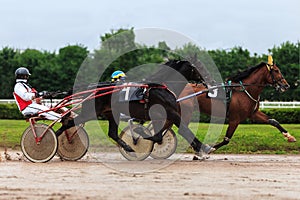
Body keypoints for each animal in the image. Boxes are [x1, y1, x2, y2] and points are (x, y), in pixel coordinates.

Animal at [56, 59, 216, 155]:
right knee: (69, 122)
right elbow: (183, 129)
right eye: (199, 66)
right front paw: (204, 148)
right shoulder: (171, 113)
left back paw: (128, 148)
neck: (161, 87)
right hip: (91, 112)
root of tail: (91, 87)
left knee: (112, 133)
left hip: (111, 114)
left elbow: (159, 135)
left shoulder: (163, 115)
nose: (212, 80)